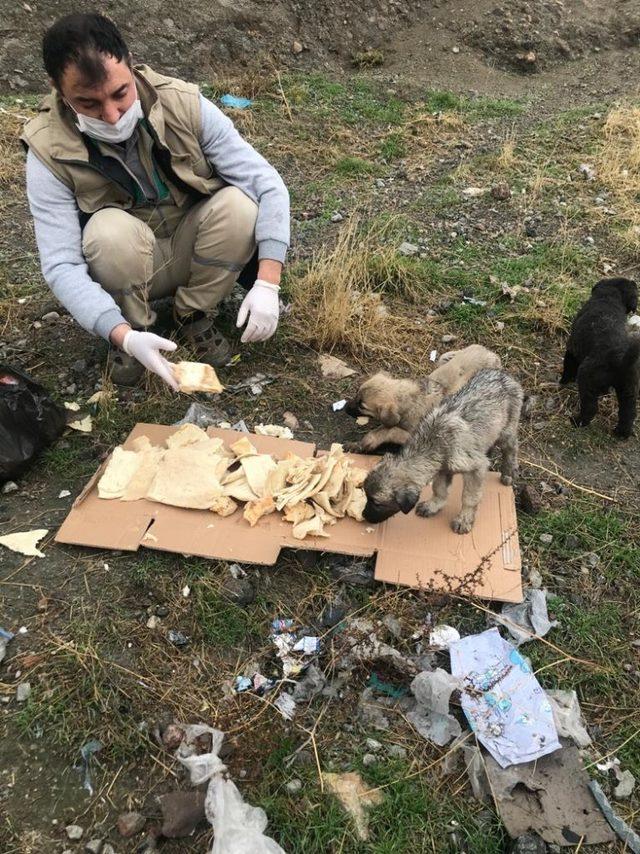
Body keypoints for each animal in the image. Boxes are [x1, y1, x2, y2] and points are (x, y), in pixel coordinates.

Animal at [362, 370, 524, 536]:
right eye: (365, 495)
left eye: (377, 503)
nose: (364, 516)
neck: (435, 442)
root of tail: (505, 375)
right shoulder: (442, 469)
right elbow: (439, 489)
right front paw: (433, 505)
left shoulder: (475, 468)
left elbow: (469, 497)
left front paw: (464, 520)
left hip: (506, 431)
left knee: (511, 448)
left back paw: (509, 472)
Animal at [560, 280, 640, 442]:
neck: (609, 298)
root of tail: (620, 358)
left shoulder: (572, 349)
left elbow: (568, 367)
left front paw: (563, 381)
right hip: (629, 390)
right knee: (628, 414)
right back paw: (621, 433)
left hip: (586, 377)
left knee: (590, 408)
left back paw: (576, 421)